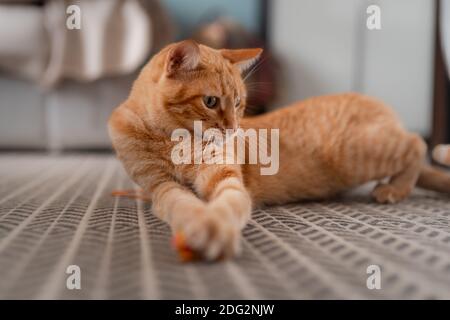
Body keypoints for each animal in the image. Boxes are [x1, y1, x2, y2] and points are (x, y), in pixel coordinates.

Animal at [109, 39, 450, 260]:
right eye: (210, 102)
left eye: (238, 103)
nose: (233, 128)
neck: (170, 140)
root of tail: (374, 101)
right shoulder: (158, 185)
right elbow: (179, 202)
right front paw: (198, 221)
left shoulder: (223, 175)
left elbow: (230, 201)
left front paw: (215, 225)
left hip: (360, 154)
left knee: (417, 144)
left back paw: (395, 188)